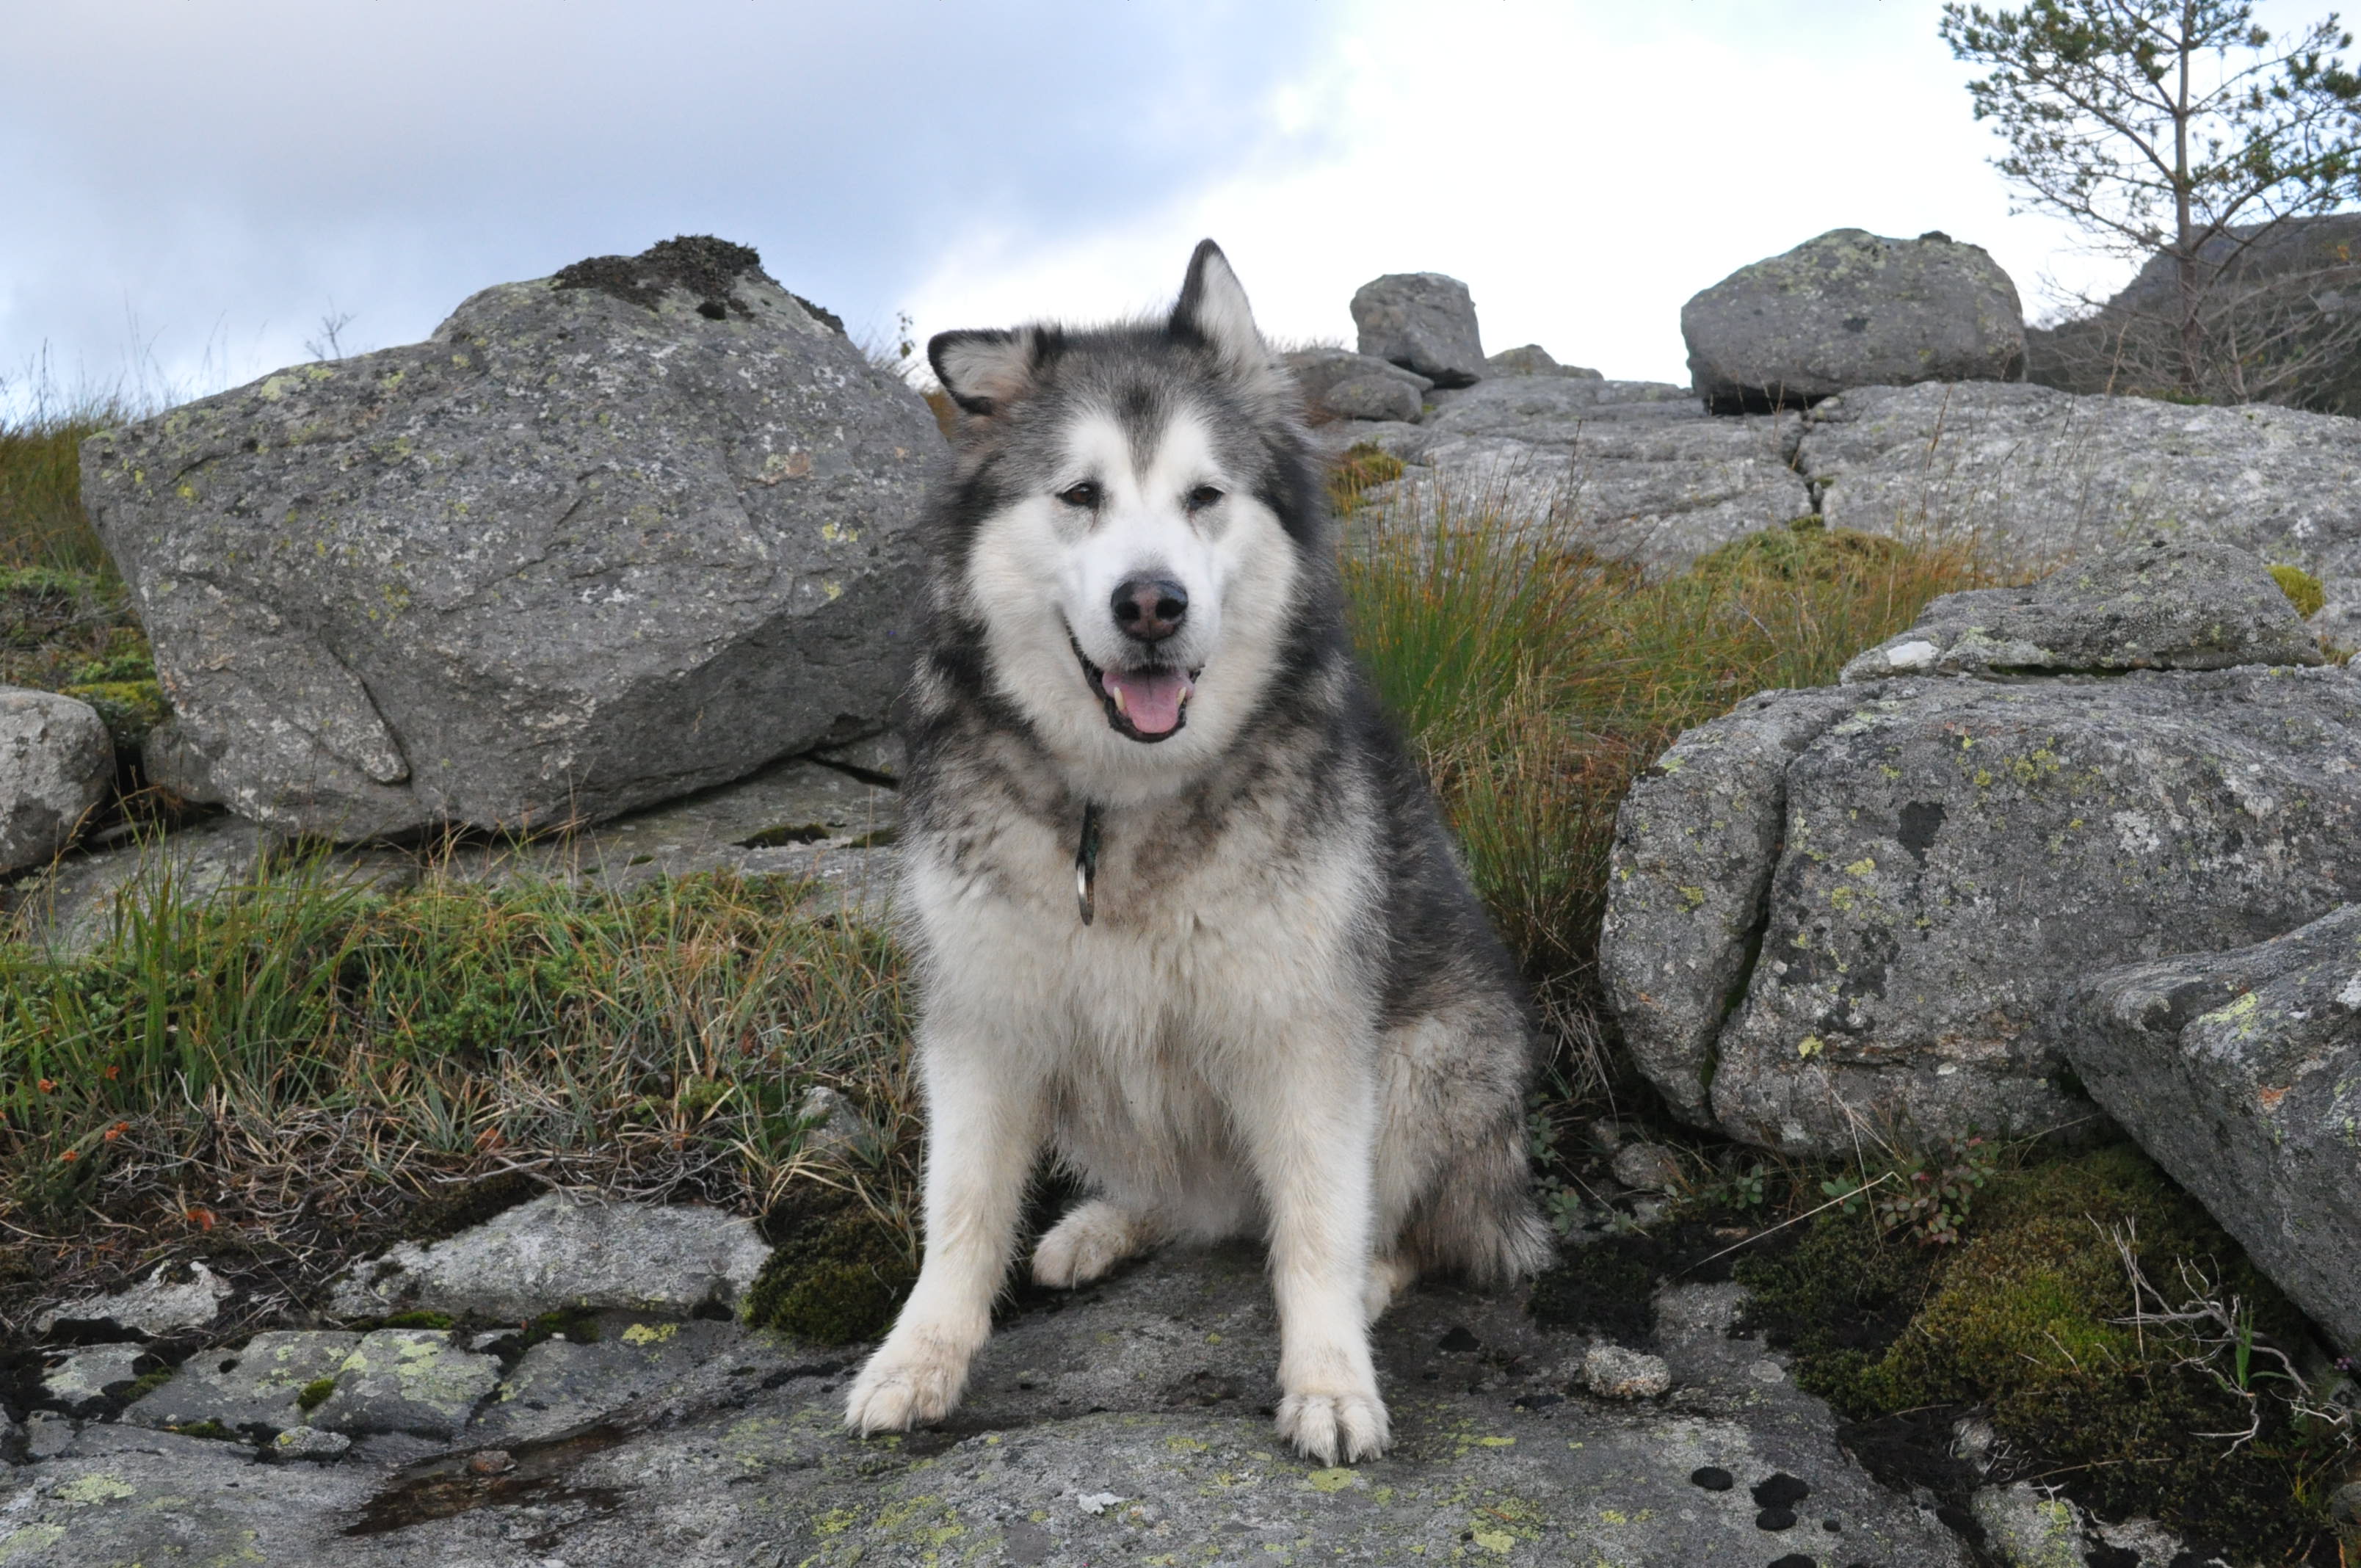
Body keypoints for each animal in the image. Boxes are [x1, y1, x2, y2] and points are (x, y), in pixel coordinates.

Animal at [841, 240, 1551, 1463]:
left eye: (1204, 497)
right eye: (1080, 496)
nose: (1152, 604)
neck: (1121, 808)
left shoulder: (1303, 1029)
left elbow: (1316, 1223)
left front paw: (1329, 1379)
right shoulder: (983, 1018)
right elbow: (963, 1214)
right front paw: (918, 1358)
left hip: (1434, 1064)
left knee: (1409, 1227)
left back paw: (1373, 1277)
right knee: (1179, 1199)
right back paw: (1102, 1226)